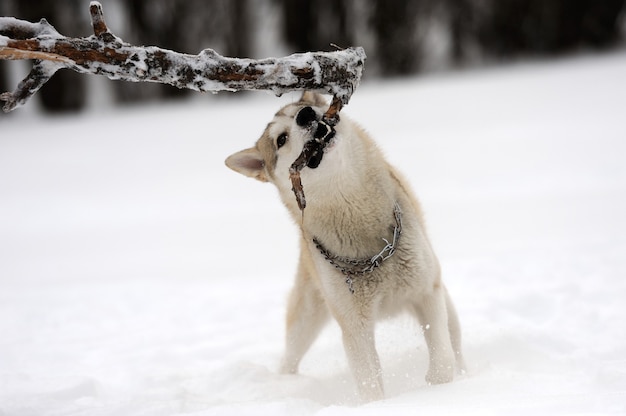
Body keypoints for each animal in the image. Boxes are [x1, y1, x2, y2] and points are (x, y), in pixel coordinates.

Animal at [224, 92, 464, 402]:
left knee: (455, 343)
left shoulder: (426, 293)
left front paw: (440, 389)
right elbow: (370, 385)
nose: (306, 114)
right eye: (280, 139)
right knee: (289, 357)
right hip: (307, 317)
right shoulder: (354, 325)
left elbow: (442, 360)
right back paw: (285, 385)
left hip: (444, 303)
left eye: (307, 108)